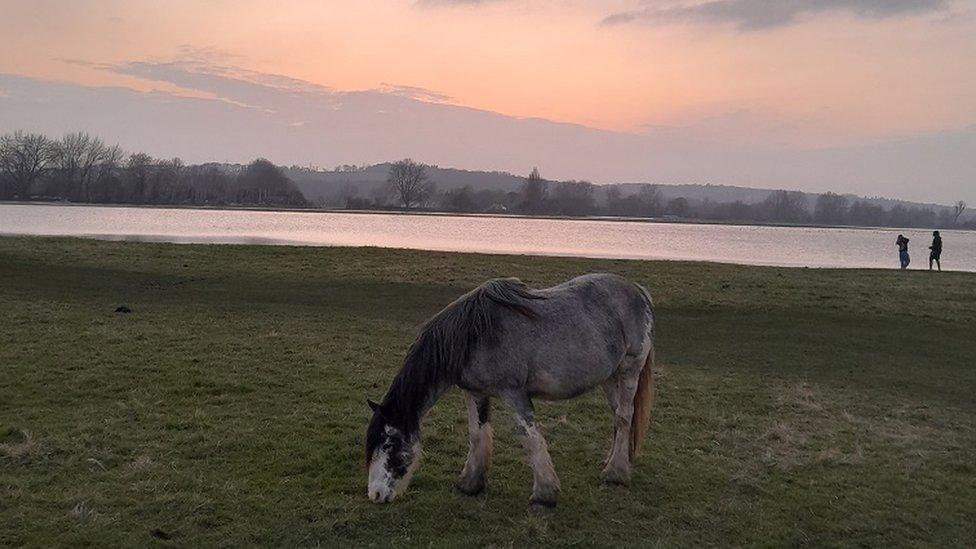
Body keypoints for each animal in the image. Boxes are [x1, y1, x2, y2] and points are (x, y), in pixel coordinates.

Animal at [366, 272, 656, 508]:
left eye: (389, 442)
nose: (375, 495)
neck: (474, 336)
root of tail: (638, 290)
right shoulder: (475, 393)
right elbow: (477, 434)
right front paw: (470, 484)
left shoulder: (514, 393)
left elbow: (529, 437)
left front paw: (545, 494)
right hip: (609, 377)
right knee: (618, 417)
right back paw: (614, 462)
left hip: (629, 370)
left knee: (624, 416)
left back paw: (615, 474)